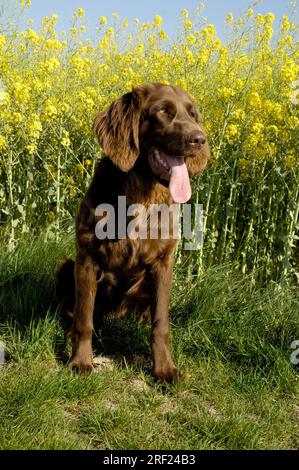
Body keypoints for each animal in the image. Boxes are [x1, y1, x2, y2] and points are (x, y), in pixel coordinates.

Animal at [56, 83, 211, 382]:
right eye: (163, 111)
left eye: (193, 113)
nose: (200, 139)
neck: (141, 193)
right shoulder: (86, 258)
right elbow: (84, 319)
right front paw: (80, 361)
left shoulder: (163, 263)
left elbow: (161, 324)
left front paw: (164, 369)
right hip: (66, 266)